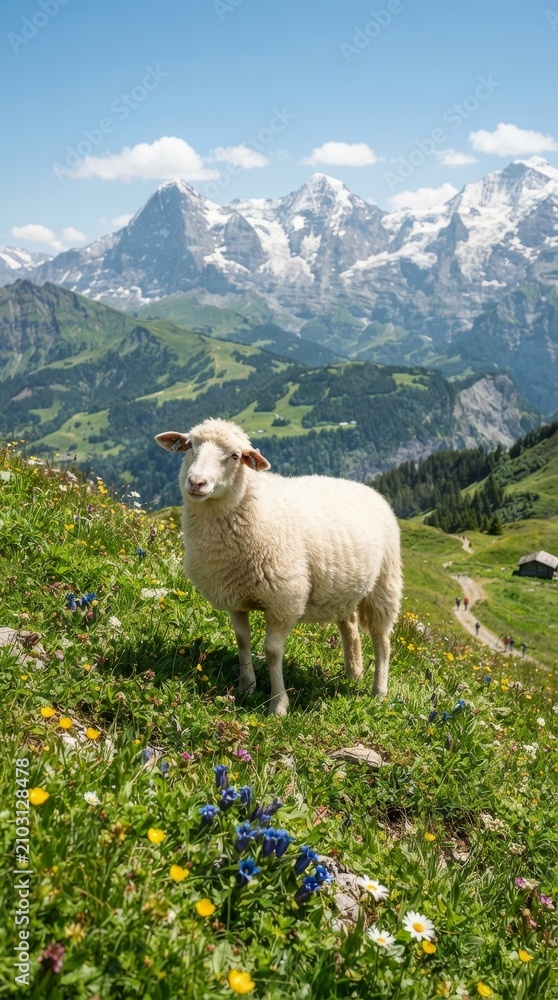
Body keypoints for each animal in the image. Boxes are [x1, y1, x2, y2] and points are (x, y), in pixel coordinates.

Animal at [155, 418, 402, 716]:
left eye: (235, 456)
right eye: (190, 445)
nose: (196, 482)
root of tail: (366, 488)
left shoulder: (285, 600)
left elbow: (272, 651)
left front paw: (278, 704)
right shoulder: (234, 596)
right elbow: (242, 640)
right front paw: (246, 687)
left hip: (384, 584)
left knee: (382, 639)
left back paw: (379, 692)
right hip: (342, 589)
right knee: (350, 628)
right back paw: (353, 673)